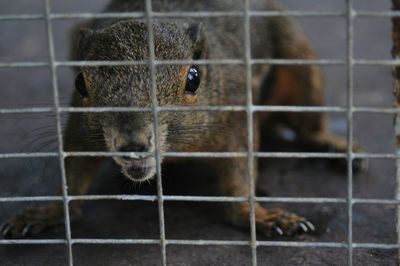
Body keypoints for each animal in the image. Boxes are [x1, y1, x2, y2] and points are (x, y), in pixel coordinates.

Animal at [0, 0, 362, 237]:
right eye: (79, 83)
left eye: (193, 78)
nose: (132, 144)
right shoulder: (81, 130)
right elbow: (72, 173)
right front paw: (47, 212)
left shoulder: (233, 119)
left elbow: (240, 176)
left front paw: (258, 215)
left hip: (297, 61)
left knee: (307, 121)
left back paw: (334, 145)